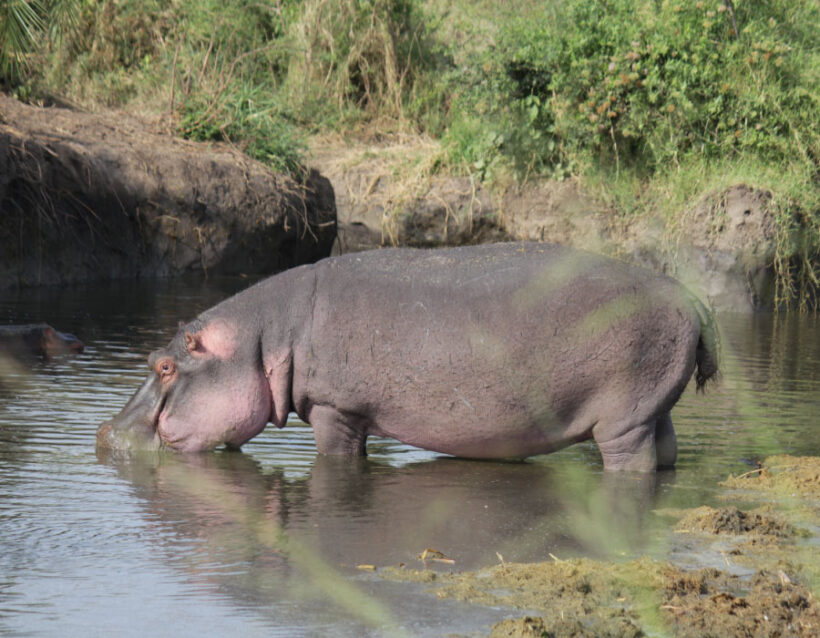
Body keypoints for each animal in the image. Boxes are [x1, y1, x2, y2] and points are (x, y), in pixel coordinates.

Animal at [97, 242, 716, 472]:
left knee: (631, 461)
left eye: (163, 366)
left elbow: (338, 459)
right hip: (652, 409)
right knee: (665, 450)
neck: (263, 337)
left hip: (622, 420)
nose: (103, 433)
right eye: (151, 355)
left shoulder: (336, 410)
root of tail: (690, 297)